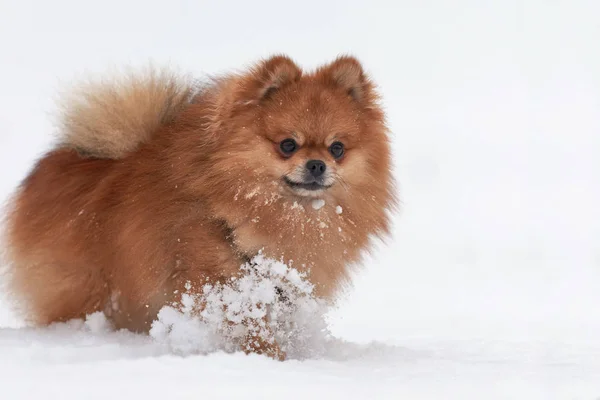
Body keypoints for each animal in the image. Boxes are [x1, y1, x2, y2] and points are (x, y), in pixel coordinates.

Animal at [3, 54, 394, 358]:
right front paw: (268, 357)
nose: (317, 165)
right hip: (91, 288)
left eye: (337, 148)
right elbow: (246, 321)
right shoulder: (214, 278)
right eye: (287, 145)